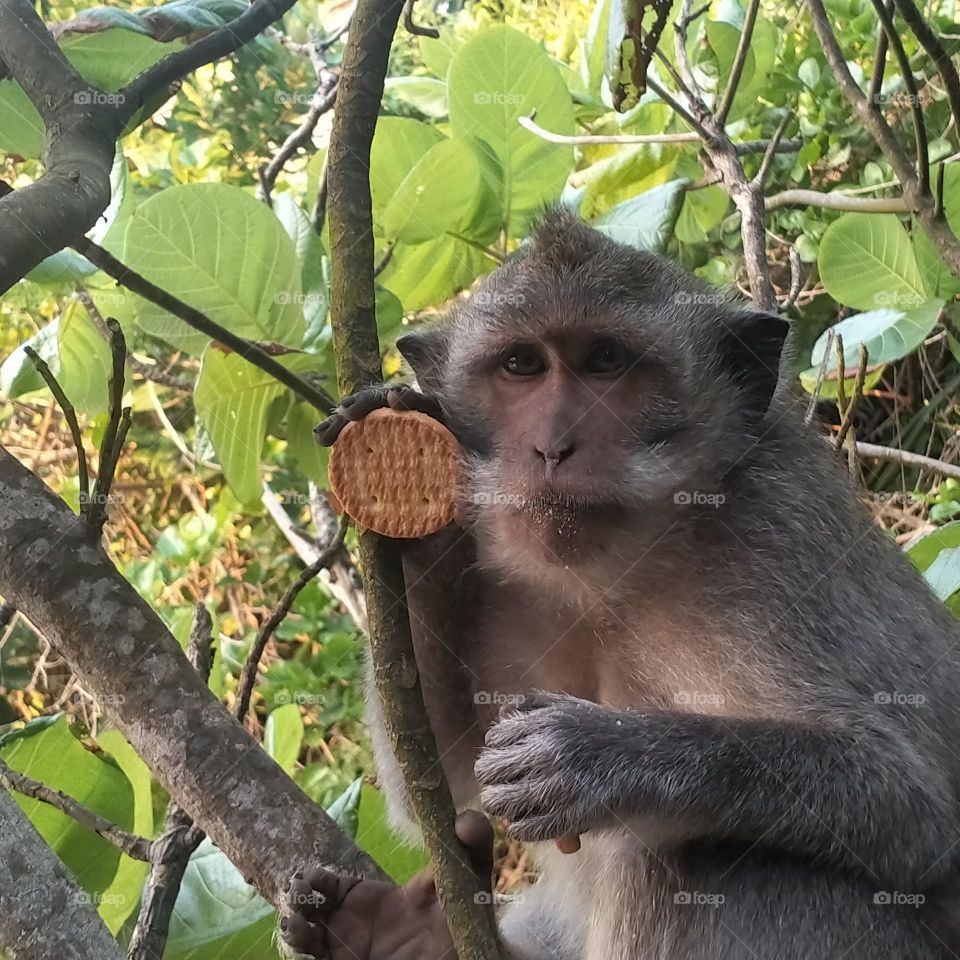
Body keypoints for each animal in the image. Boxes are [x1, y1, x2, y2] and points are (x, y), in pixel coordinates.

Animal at [283, 208, 960, 960]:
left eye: (606, 361)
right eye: (522, 365)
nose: (552, 447)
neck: (622, 568)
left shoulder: (782, 533)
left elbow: (914, 808)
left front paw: (594, 756)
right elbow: (441, 780)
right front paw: (408, 479)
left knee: (686, 863)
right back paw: (403, 936)